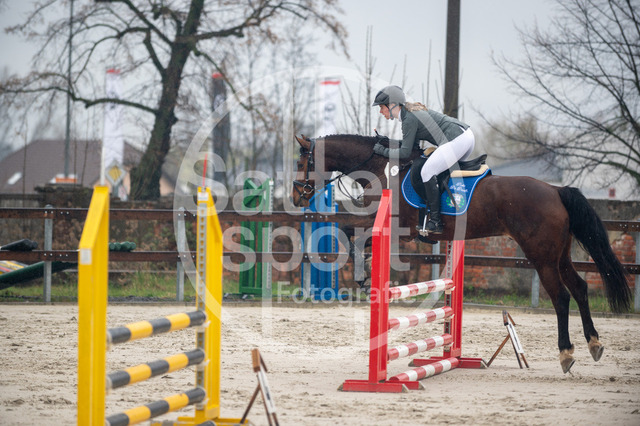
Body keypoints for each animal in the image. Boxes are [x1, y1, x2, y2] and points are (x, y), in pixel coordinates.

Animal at [291, 134, 632, 374]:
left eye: (301, 162)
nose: (296, 196)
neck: (381, 169)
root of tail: (556, 190)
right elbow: (352, 234)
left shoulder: (395, 227)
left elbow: (353, 234)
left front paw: (363, 274)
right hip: (558, 255)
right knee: (580, 288)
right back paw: (594, 344)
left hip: (542, 255)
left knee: (561, 296)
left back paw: (566, 353)